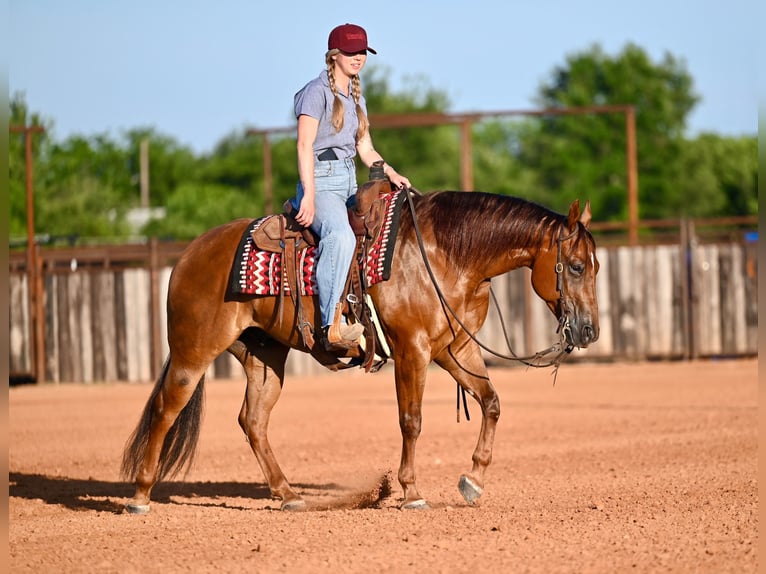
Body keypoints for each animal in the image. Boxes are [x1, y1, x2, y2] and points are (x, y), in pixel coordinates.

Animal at [121, 188, 599, 513]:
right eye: (576, 266)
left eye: (595, 267)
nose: (589, 330)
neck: (447, 254)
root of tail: (189, 254)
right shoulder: (412, 350)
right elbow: (411, 421)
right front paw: (411, 492)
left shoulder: (454, 349)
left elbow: (491, 402)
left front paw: (473, 480)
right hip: (193, 351)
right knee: (166, 408)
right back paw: (140, 495)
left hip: (265, 355)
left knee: (252, 420)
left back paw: (288, 494)